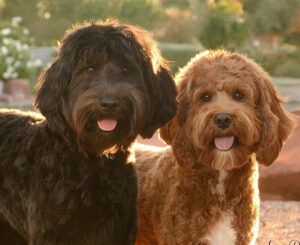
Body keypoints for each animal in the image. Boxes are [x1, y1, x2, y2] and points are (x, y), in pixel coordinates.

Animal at [0, 20, 176, 245]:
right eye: (89, 69)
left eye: (127, 69)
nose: (109, 103)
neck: (94, 161)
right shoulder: (50, 231)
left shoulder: (119, 229)